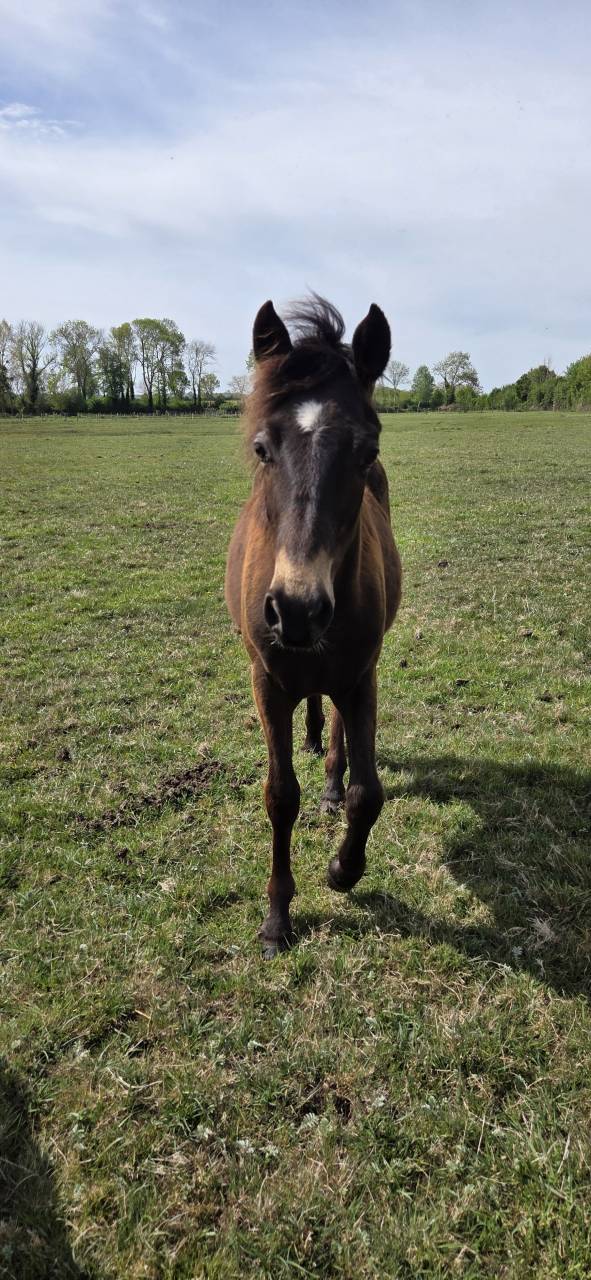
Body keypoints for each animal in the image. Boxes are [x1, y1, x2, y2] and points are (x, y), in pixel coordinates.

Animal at [225, 296, 402, 957]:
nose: (297, 609)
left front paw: (342, 870)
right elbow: (280, 796)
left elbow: (367, 793)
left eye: (366, 452)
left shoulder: (361, 676)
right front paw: (277, 918)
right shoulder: (267, 682)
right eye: (262, 449)